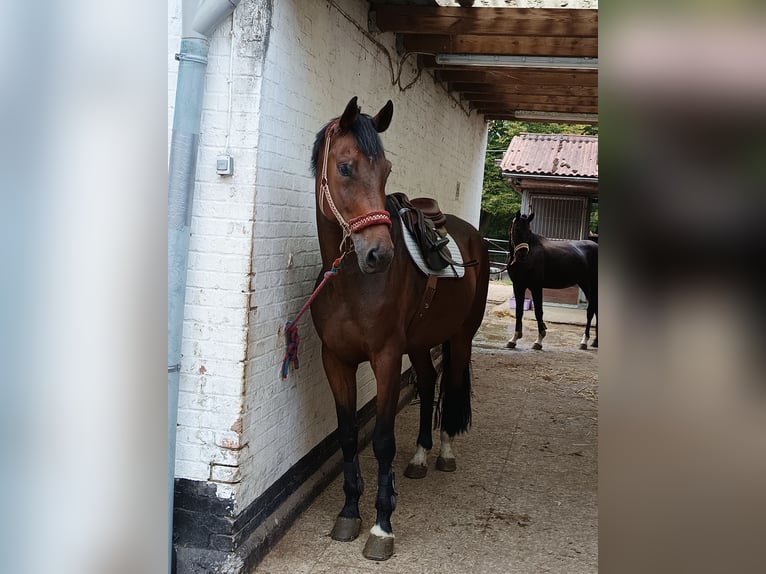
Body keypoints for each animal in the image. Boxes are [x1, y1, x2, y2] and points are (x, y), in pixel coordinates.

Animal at [308, 98, 492, 564]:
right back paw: (421, 457)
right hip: (421, 343)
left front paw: (381, 526)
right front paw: (349, 513)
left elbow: (383, 441)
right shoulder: (335, 360)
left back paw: (444, 452)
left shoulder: (386, 358)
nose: (380, 254)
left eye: (387, 169)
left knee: (451, 383)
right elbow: (348, 436)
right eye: (345, 167)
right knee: (427, 383)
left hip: (459, 339)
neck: (351, 282)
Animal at [508, 213, 604, 352]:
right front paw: (513, 339)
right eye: (516, 229)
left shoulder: (536, 287)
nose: (523, 254)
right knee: (595, 308)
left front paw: (539, 341)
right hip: (585, 284)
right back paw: (595, 342)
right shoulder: (518, 285)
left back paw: (584, 342)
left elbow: (539, 312)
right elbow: (519, 311)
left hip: (593, 284)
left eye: (529, 232)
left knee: (590, 311)